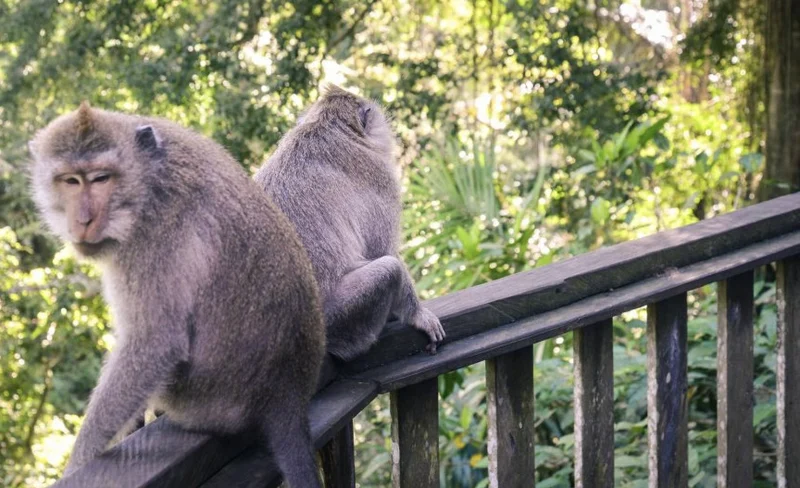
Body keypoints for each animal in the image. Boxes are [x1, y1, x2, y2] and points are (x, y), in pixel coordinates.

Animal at [28, 103, 325, 488]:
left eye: (101, 178)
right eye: (70, 181)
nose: (84, 220)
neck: (147, 179)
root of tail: (288, 391)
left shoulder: (153, 238)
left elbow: (154, 343)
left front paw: (79, 462)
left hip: (200, 404)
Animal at [254, 85, 446, 362]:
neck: (326, 126)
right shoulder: (380, 177)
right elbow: (384, 251)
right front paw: (418, 315)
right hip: (337, 318)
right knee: (389, 269)